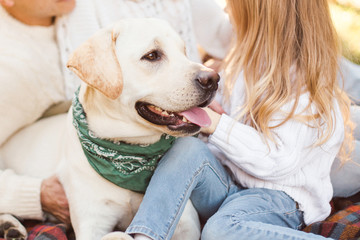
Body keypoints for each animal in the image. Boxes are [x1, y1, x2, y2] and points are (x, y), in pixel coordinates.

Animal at [0, 18, 219, 240]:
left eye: (184, 51)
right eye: (152, 55)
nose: (213, 79)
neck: (127, 151)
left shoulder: (187, 224)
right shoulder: (91, 225)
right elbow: (115, 234)